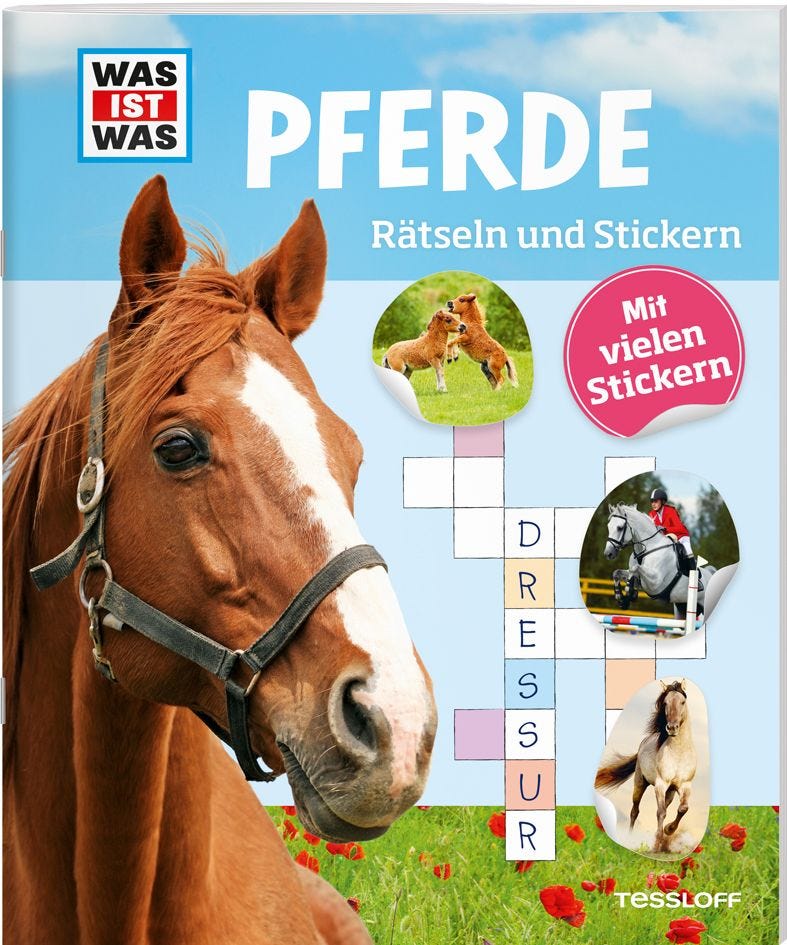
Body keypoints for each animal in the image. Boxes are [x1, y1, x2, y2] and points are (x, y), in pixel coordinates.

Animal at [595, 680, 696, 854]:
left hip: (670, 792)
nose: (672, 728)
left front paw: (669, 830)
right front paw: (656, 845)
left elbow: (683, 808)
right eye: (665, 703)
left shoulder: (684, 785)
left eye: (683, 702)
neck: (679, 754)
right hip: (640, 783)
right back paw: (629, 838)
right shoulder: (661, 784)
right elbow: (660, 812)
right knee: (634, 811)